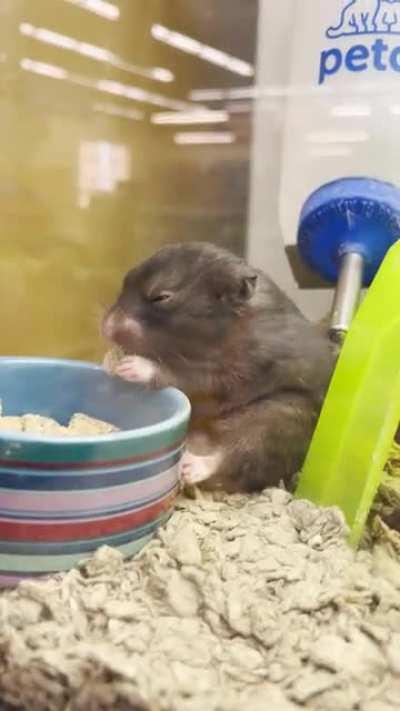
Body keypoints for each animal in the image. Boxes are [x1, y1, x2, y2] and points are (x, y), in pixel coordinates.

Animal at [102, 241, 336, 493]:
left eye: (161, 297)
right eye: (125, 280)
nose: (104, 329)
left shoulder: (231, 375)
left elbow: (181, 376)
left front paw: (129, 366)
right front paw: (109, 362)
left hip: (276, 422)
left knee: (237, 456)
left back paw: (190, 467)